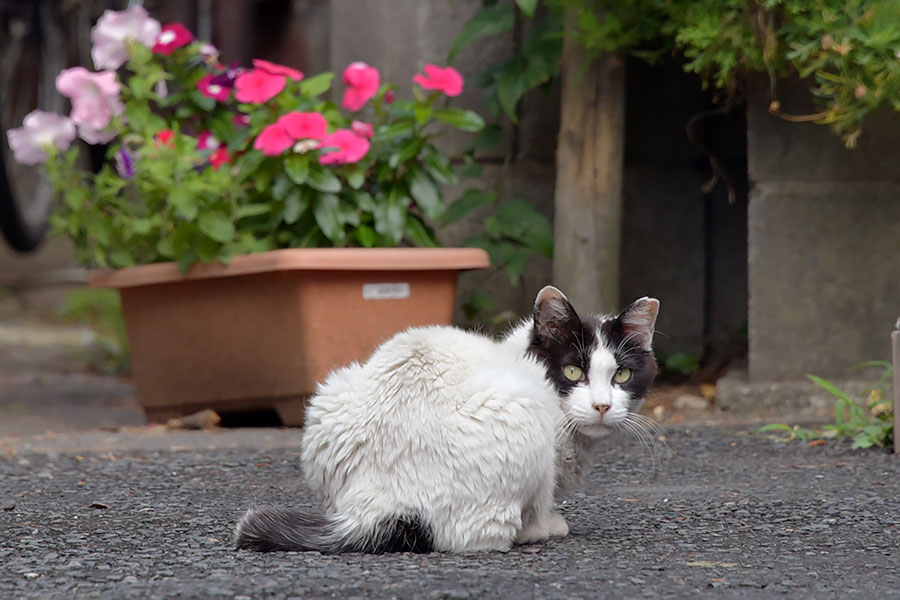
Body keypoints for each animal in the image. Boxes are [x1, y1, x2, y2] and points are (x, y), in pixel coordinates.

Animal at [236, 286, 656, 552]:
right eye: (572, 372)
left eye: (621, 375)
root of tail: (390, 500)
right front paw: (548, 524)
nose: (602, 406)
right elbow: (539, 505)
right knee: (484, 536)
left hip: (330, 393)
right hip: (521, 407)